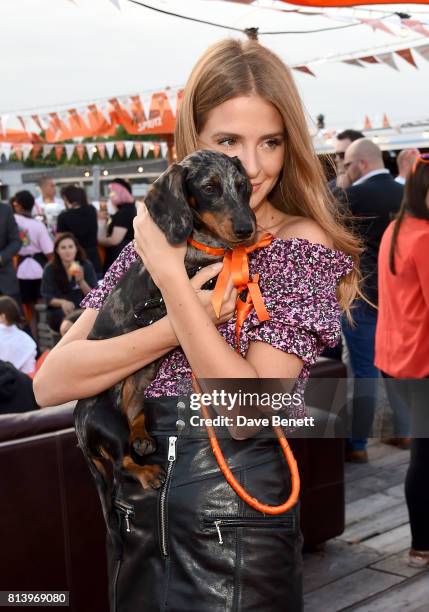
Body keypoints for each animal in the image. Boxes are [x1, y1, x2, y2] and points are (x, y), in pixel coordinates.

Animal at [73, 151, 256, 548]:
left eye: (243, 186)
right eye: (209, 188)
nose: (247, 229)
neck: (201, 243)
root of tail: (79, 430)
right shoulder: (164, 294)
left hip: (137, 395)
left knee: (136, 419)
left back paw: (143, 439)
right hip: (108, 422)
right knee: (122, 463)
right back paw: (147, 472)